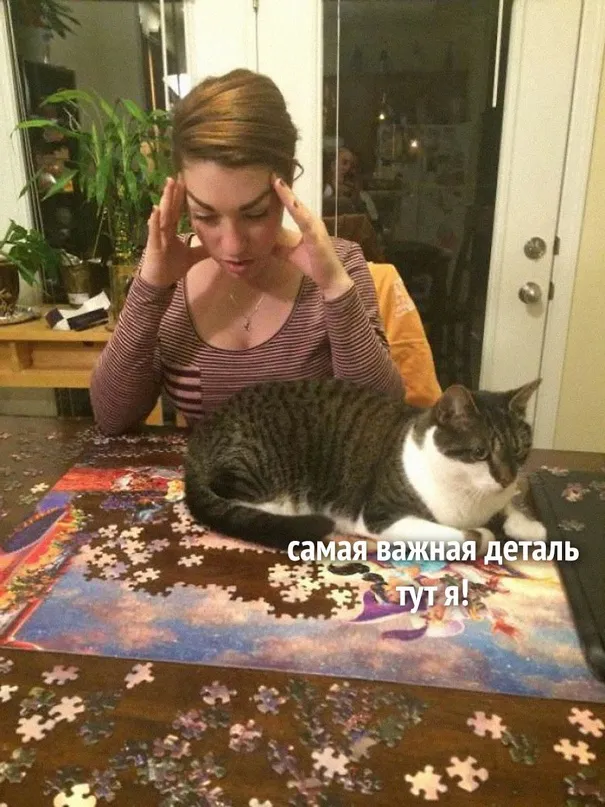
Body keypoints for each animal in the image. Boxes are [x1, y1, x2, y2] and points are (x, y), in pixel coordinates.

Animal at [183, 377, 547, 555]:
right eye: (480, 453)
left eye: (520, 450)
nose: (508, 478)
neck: (470, 497)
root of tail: (200, 435)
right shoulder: (381, 517)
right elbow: (467, 534)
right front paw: (485, 534)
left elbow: (509, 510)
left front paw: (531, 526)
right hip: (258, 461)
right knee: (232, 495)